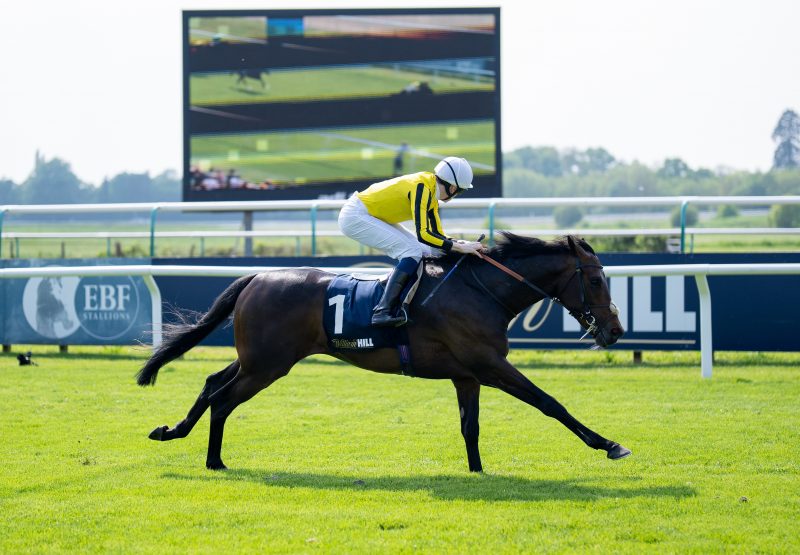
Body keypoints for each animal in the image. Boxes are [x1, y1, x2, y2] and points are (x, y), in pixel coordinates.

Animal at [136, 232, 632, 472]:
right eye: (595, 280)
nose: (615, 330)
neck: (482, 290)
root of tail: (256, 277)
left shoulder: (467, 374)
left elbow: (469, 427)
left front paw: (477, 471)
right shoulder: (491, 365)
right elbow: (551, 403)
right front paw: (610, 444)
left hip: (257, 358)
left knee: (211, 384)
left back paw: (172, 431)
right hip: (268, 365)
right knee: (223, 399)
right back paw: (213, 460)